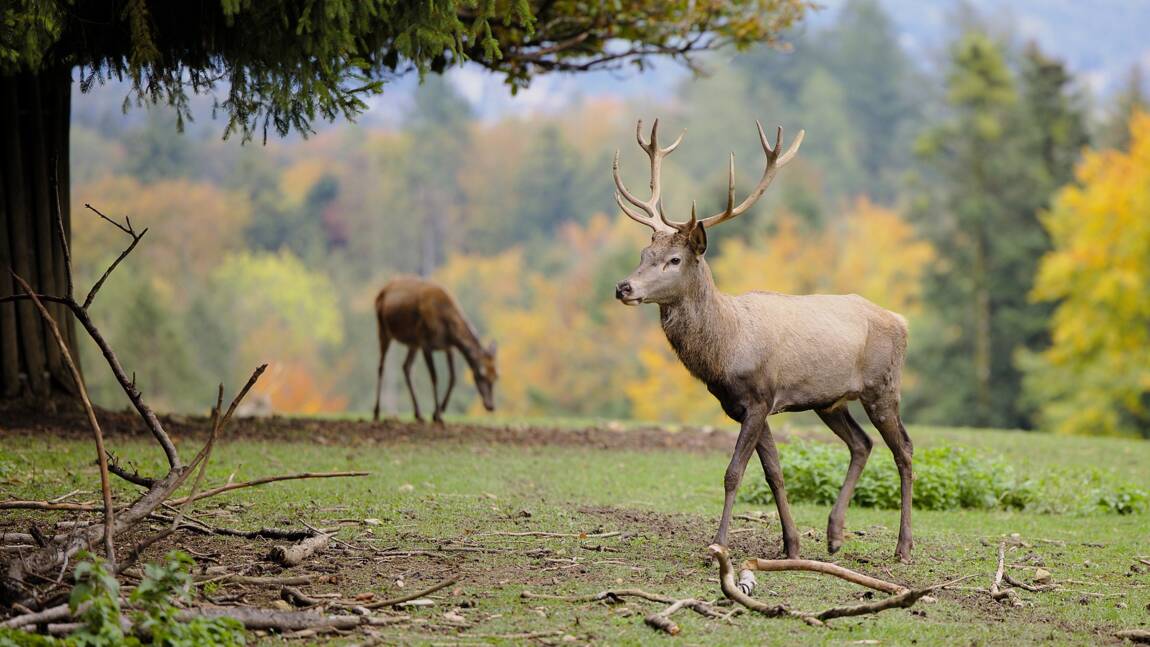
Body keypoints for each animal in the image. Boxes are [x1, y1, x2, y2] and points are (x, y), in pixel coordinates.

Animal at [368, 274, 494, 422]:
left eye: (496, 376)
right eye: (482, 376)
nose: (491, 406)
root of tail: (381, 291)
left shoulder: (448, 347)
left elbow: (453, 377)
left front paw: (439, 411)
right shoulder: (425, 342)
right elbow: (434, 377)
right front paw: (437, 414)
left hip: (413, 342)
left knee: (406, 366)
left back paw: (418, 414)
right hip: (383, 329)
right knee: (381, 367)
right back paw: (376, 412)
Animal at [611, 120, 915, 563]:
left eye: (674, 260)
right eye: (643, 253)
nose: (623, 287)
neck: (725, 349)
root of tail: (901, 321)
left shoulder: (759, 396)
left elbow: (733, 473)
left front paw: (718, 543)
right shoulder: (746, 406)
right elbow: (774, 473)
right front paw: (791, 545)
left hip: (883, 386)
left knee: (904, 449)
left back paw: (903, 546)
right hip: (829, 400)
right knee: (862, 444)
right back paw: (834, 534)